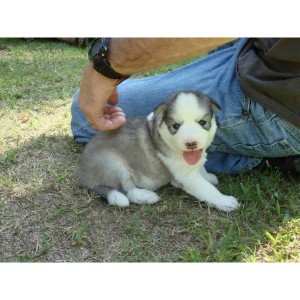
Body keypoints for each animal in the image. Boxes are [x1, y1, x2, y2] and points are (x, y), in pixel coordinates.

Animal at [78, 90, 240, 212]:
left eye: (202, 122)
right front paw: (225, 201)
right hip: (113, 164)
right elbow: (206, 189)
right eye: (175, 126)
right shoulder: (187, 176)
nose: (191, 144)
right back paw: (147, 196)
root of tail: (84, 177)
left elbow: (201, 168)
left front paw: (207, 176)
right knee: (128, 191)